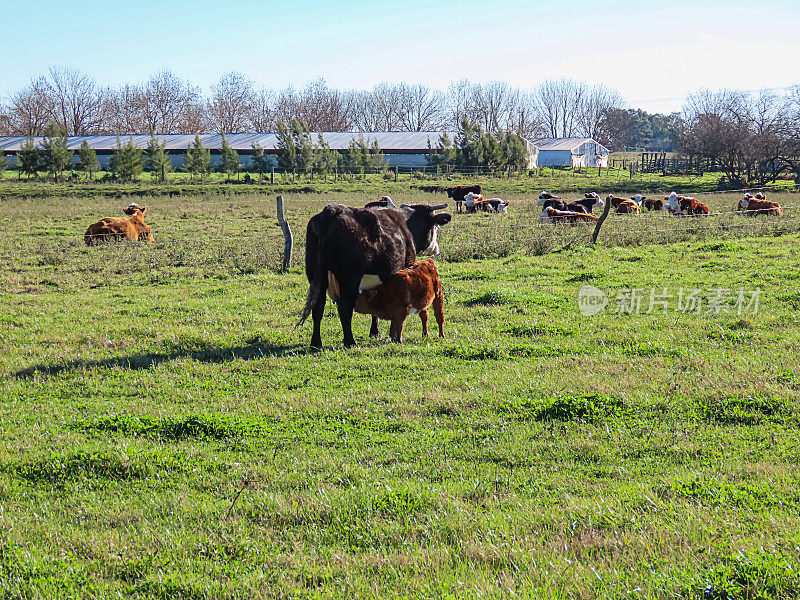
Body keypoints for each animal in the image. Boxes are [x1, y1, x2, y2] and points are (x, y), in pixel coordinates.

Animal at [298, 202, 454, 346]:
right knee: (344, 307)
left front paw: (375, 332)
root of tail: (333, 209)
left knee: (318, 306)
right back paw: (350, 341)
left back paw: (316, 343)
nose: (436, 248)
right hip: (350, 278)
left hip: (316, 274)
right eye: (435, 225)